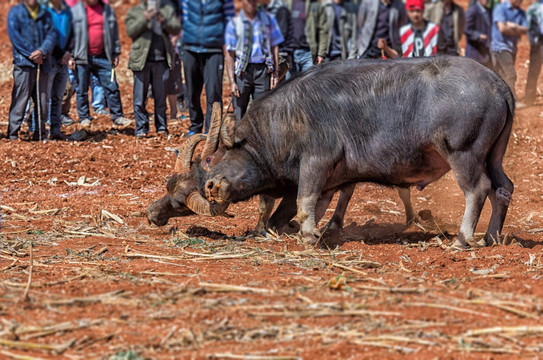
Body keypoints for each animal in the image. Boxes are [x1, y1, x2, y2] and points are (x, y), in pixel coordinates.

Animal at [149, 56, 516, 249]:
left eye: (209, 160)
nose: (153, 212)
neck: (283, 123)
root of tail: (497, 83)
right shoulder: (329, 180)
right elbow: (302, 207)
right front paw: (301, 229)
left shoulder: (315, 164)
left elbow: (303, 200)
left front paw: (310, 234)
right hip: (493, 157)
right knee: (503, 188)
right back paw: (493, 235)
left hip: (464, 154)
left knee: (478, 189)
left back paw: (464, 238)